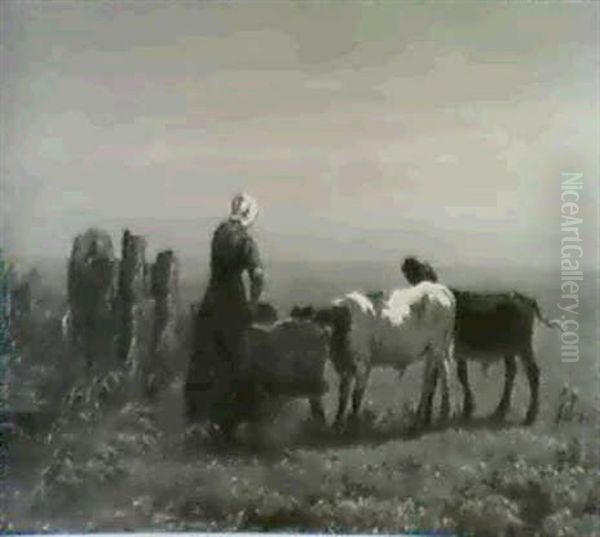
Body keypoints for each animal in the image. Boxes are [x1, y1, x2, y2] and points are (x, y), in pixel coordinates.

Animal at [314, 280, 454, 428]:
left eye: (341, 321)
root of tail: (437, 287)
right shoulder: (344, 366)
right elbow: (343, 395)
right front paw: (337, 423)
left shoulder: (361, 364)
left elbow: (356, 395)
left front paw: (353, 423)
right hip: (435, 350)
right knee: (437, 377)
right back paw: (432, 415)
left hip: (437, 347)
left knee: (435, 379)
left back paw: (432, 415)